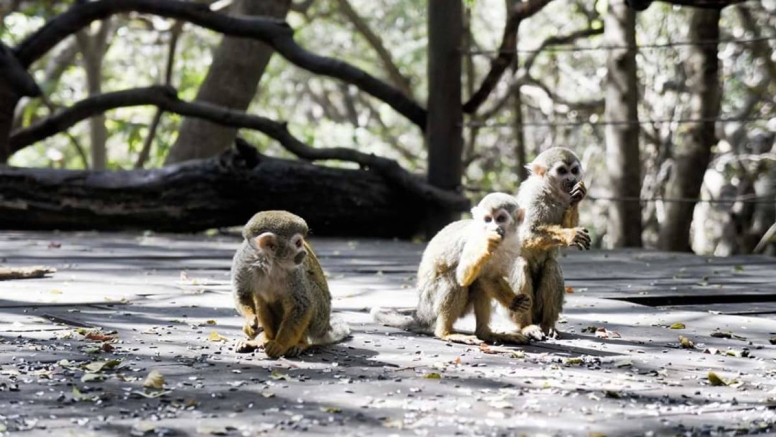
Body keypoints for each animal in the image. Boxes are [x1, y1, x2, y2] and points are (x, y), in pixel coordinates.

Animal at [231, 210, 350, 358]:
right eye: (298, 243)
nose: (304, 252)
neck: (269, 262)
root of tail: (325, 328)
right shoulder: (243, 261)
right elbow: (242, 294)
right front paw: (250, 321)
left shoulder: (295, 271)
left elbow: (301, 306)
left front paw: (280, 345)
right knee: (260, 298)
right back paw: (264, 339)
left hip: (320, 319)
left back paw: (301, 343)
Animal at [371, 193, 532, 345]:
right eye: (488, 219)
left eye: (500, 218)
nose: (493, 228)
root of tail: (421, 312)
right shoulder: (473, 240)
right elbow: (462, 276)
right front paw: (485, 245)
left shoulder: (514, 244)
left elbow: (489, 277)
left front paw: (514, 301)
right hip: (430, 302)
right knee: (454, 280)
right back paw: (445, 333)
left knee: (478, 284)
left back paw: (485, 333)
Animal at [509, 147, 591, 341]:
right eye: (562, 171)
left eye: (574, 171)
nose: (571, 179)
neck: (550, 192)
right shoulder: (534, 195)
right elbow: (527, 233)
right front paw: (571, 234)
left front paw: (578, 196)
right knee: (520, 263)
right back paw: (526, 326)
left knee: (551, 265)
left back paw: (547, 324)